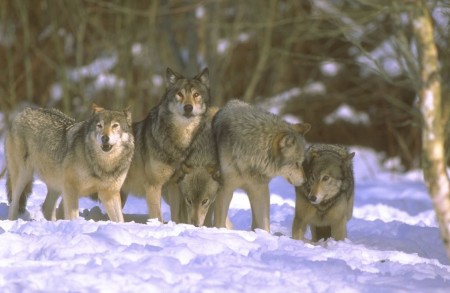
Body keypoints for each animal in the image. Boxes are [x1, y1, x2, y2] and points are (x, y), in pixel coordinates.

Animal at [4, 104, 134, 220]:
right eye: (99, 126)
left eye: (115, 125)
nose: (104, 138)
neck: (105, 165)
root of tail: (24, 111)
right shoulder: (71, 188)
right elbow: (73, 217)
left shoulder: (110, 193)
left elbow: (120, 220)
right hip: (24, 176)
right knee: (14, 205)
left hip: (57, 185)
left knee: (47, 208)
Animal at [119, 66, 211, 221]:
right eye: (180, 94)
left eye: (196, 94)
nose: (188, 107)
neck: (179, 144)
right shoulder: (153, 186)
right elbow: (158, 217)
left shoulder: (174, 186)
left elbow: (176, 216)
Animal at [213, 99, 312, 232]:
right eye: (296, 163)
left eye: (301, 163)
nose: (305, 181)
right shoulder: (225, 189)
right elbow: (219, 221)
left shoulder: (260, 189)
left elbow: (264, 224)